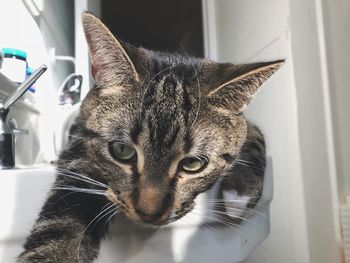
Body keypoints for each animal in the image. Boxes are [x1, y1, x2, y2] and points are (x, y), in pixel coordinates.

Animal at [17, 11, 284, 262]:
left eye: (193, 164)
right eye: (122, 151)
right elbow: (62, 222)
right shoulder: (79, 149)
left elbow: (254, 132)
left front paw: (241, 191)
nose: (149, 212)